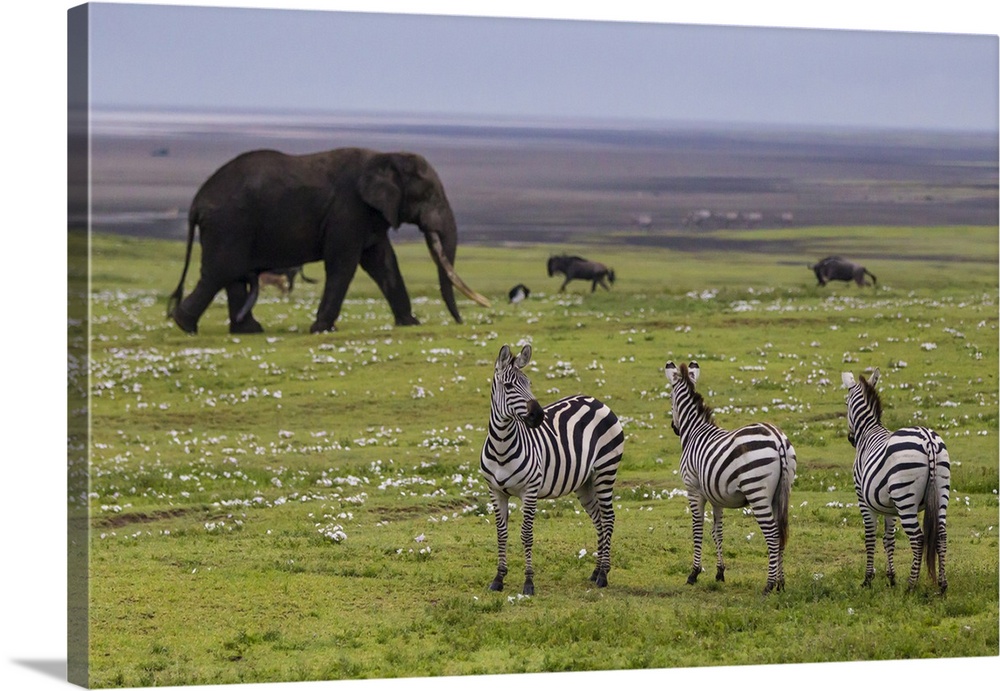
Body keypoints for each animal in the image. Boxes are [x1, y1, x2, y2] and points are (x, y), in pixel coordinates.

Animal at [168, 149, 492, 336]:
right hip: (229, 223)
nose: (461, 322)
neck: (384, 156)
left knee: (231, 275)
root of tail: (196, 202)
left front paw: (410, 324)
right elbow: (344, 264)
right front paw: (322, 329)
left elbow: (383, 262)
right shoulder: (348, 209)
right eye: (428, 195)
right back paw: (186, 325)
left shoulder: (368, 213)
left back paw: (246, 331)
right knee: (223, 271)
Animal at [480, 344, 620, 596]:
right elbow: (501, 533)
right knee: (598, 519)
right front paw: (498, 578)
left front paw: (528, 582)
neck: (501, 445)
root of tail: (596, 401)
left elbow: (526, 534)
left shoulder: (530, 490)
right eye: (509, 386)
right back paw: (595, 572)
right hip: (585, 482)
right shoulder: (495, 491)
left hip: (606, 471)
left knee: (608, 518)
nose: (538, 415)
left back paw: (604, 575)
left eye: (529, 383)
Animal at [664, 362, 796, 596]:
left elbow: (697, 529)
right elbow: (717, 532)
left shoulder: (693, 489)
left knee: (772, 534)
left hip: (757, 492)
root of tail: (778, 439)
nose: (674, 427)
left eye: (670, 397)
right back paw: (780, 584)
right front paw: (720, 572)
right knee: (781, 534)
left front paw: (694, 573)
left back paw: (769, 585)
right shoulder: (716, 496)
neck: (694, 431)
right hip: (781, 492)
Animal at [840, 370, 948, 592]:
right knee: (941, 535)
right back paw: (942, 586)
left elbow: (870, 537)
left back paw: (911, 586)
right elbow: (888, 539)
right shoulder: (889, 506)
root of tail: (928, 440)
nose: (851, 439)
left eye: (846, 403)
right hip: (941, 492)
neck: (868, 431)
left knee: (918, 539)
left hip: (905, 497)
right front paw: (891, 578)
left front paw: (868, 579)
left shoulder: (862, 498)